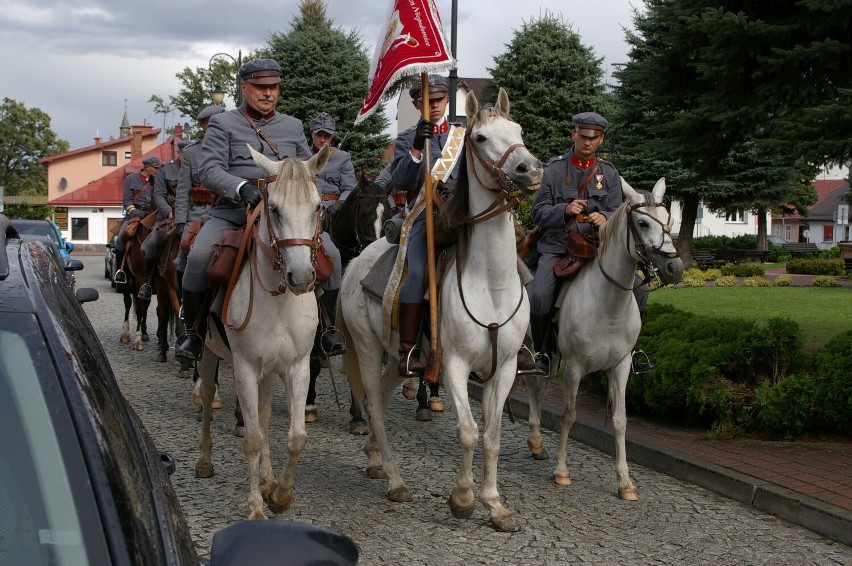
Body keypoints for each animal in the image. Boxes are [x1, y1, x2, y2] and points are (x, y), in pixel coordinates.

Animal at [193, 144, 330, 520]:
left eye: (318, 207)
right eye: (273, 208)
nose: (302, 277)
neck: (278, 298)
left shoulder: (298, 367)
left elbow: (295, 436)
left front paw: (280, 493)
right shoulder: (244, 368)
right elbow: (252, 438)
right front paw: (256, 507)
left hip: (270, 372)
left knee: (266, 418)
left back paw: (268, 480)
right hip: (209, 355)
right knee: (208, 401)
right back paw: (205, 462)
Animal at [338, 89, 544, 532]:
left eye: (518, 129)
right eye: (480, 138)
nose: (530, 169)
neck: (491, 282)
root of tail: (356, 261)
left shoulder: (505, 368)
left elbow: (492, 436)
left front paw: (495, 504)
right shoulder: (453, 366)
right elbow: (468, 432)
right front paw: (463, 499)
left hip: (399, 359)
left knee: (381, 400)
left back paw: (376, 459)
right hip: (366, 349)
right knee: (372, 406)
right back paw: (396, 481)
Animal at [520, 178, 684, 502]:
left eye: (669, 220)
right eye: (642, 222)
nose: (675, 269)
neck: (609, 305)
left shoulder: (620, 367)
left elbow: (620, 421)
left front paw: (625, 482)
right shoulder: (574, 368)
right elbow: (569, 415)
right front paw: (562, 471)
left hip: (549, 355)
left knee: (538, 387)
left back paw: (536, 443)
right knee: (531, 383)